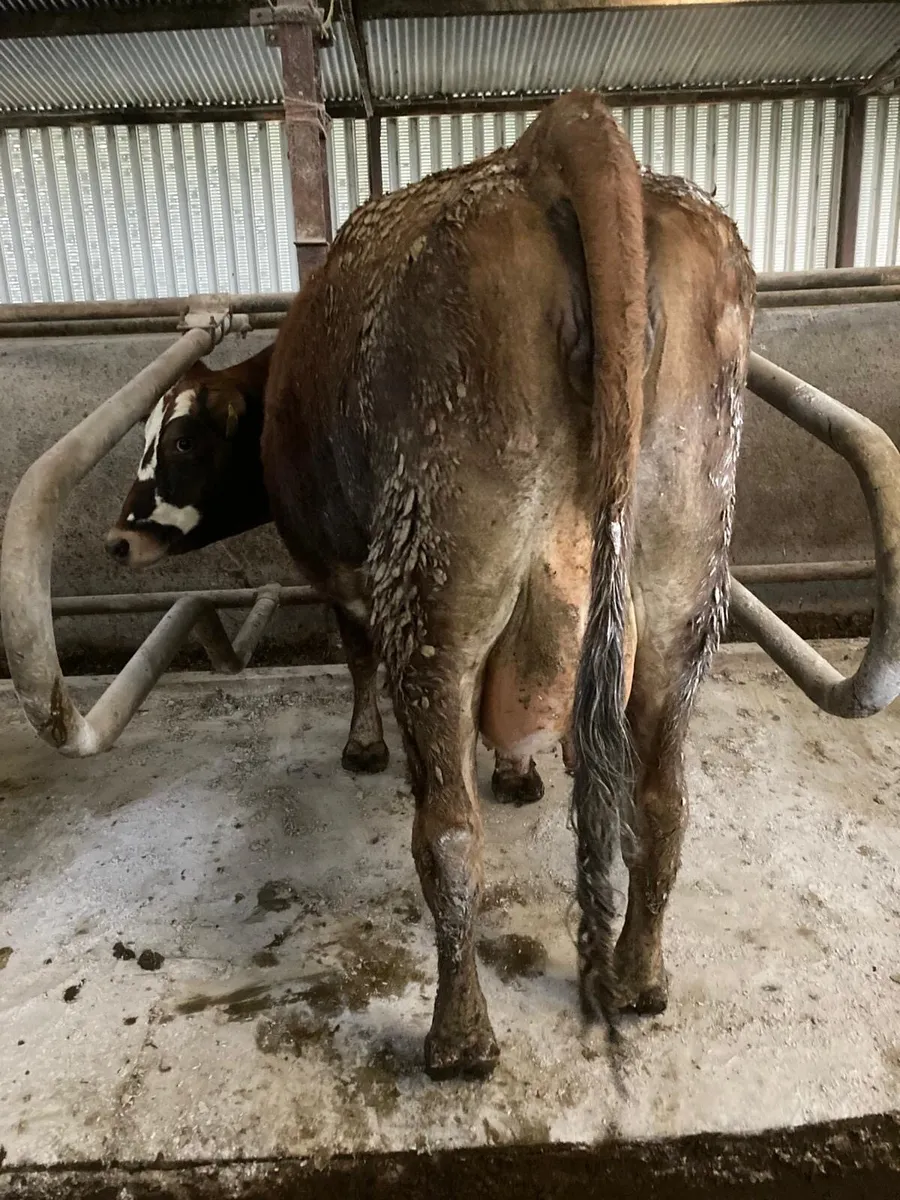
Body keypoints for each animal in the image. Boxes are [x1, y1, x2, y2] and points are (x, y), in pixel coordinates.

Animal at [108, 91, 754, 1081]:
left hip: (435, 595)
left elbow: (353, 656)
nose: (118, 537)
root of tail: (553, 144)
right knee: (663, 803)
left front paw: (366, 749)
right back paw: (642, 978)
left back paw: (458, 1039)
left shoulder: (340, 569)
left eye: (179, 441)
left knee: (446, 834)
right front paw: (523, 771)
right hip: (683, 589)